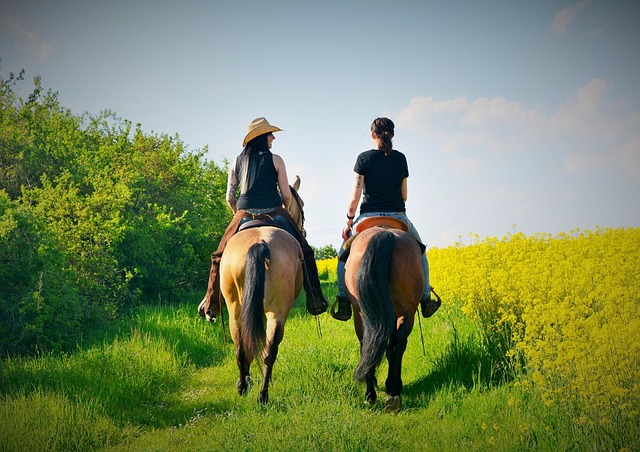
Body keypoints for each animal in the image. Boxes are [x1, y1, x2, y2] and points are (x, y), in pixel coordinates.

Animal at [202, 176, 306, 405]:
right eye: (302, 204)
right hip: (276, 312)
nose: (303, 230)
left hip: (237, 309)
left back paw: (246, 387)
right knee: (266, 350)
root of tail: (259, 243)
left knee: (244, 348)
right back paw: (260, 393)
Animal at [343, 220, 425, 412]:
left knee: (368, 343)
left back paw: (371, 394)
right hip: (406, 311)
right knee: (397, 343)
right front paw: (390, 384)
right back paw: (392, 391)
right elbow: (390, 347)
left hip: (362, 313)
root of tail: (384, 233)